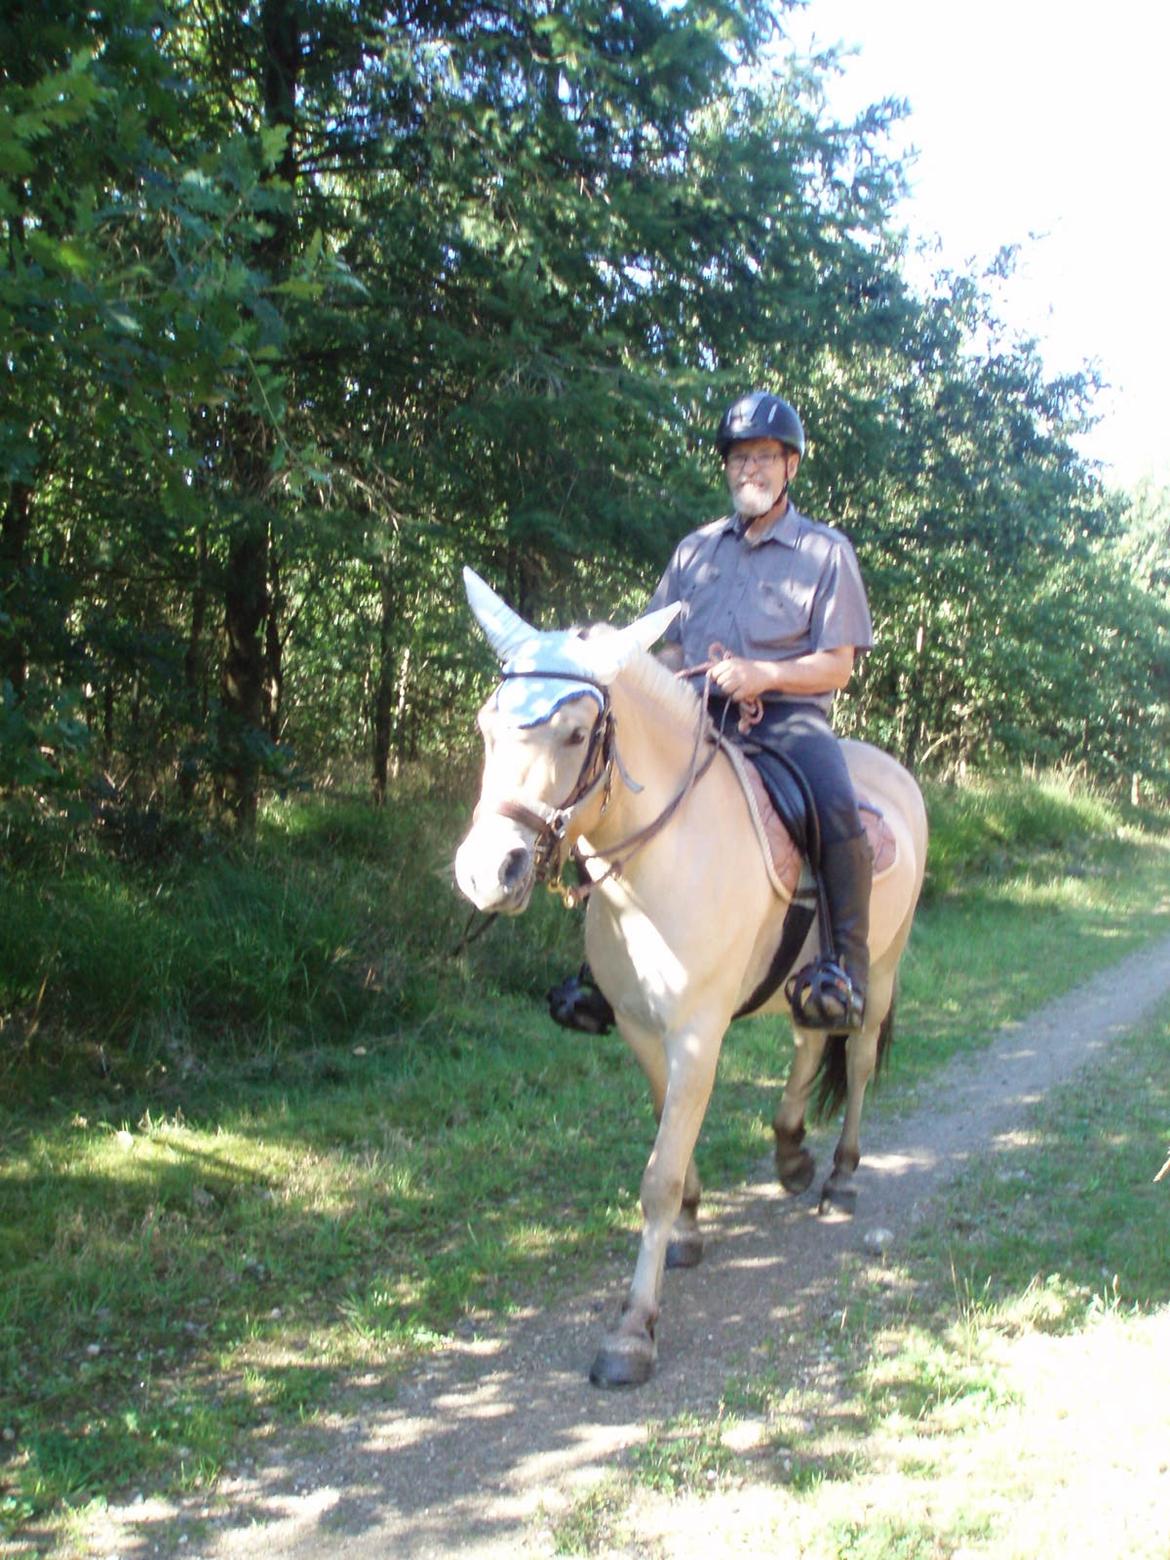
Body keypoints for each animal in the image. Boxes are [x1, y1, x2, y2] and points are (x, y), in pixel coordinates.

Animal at [452, 570, 929, 1391]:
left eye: (575, 733)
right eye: (488, 727)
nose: (490, 872)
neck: (658, 863)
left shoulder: (698, 1034)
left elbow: (658, 1174)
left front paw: (632, 1330)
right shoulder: (641, 1028)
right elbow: (670, 1144)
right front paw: (689, 1229)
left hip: (883, 965)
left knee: (861, 1057)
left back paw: (839, 1175)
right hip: (802, 981)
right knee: (809, 1038)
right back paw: (792, 1153)